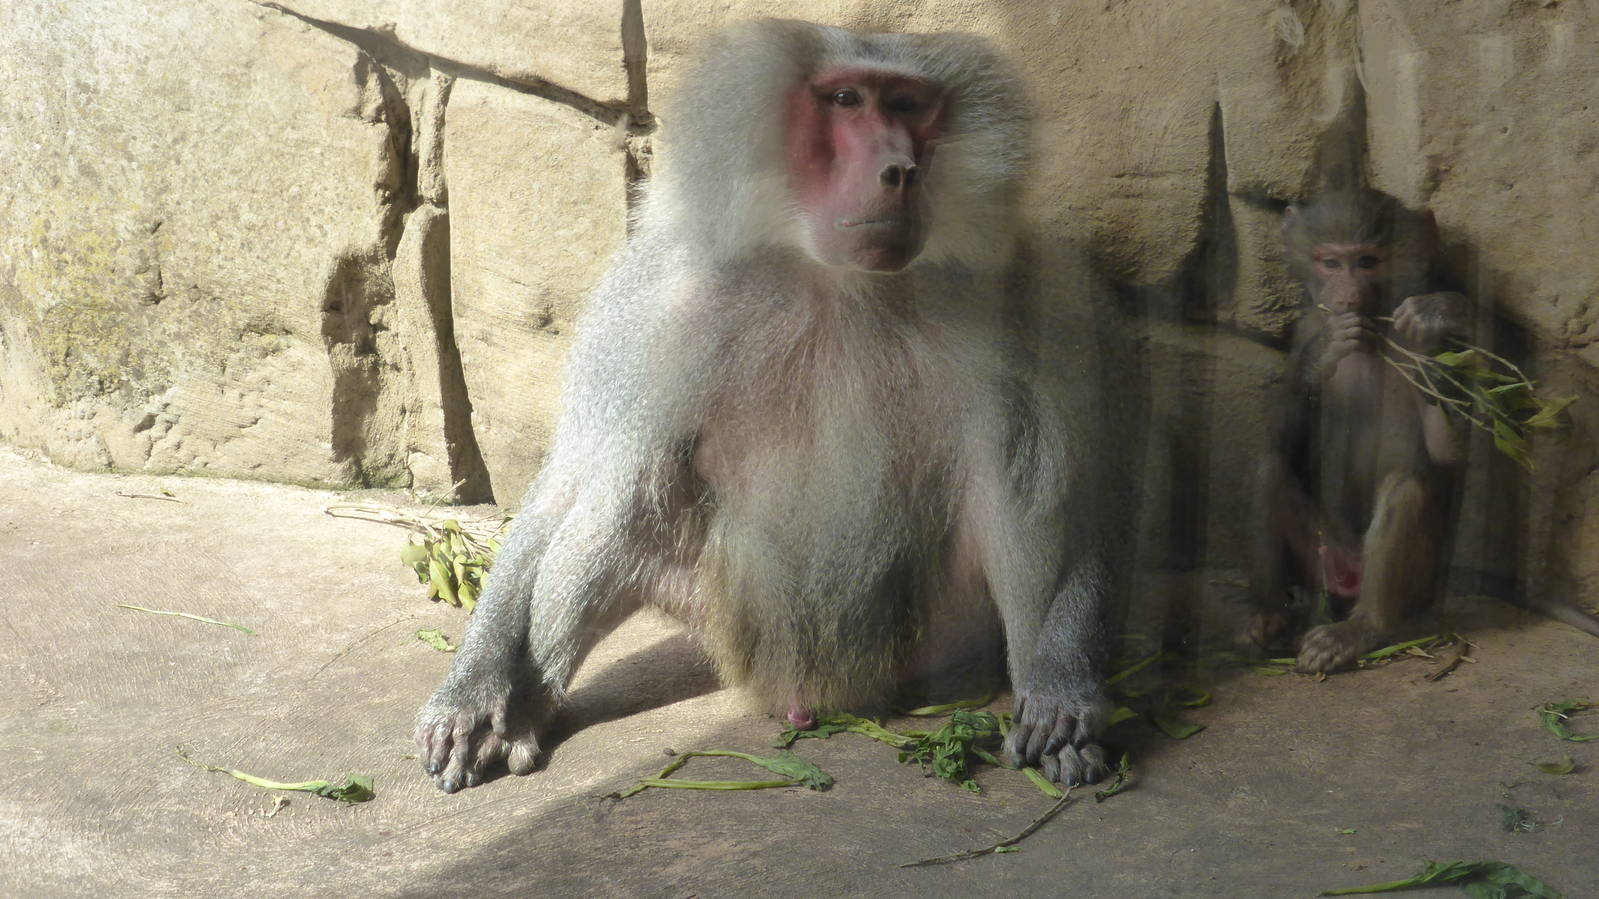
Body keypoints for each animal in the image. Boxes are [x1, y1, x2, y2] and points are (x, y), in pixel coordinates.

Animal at [414, 19, 1130, 793]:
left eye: (908, 104)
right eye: (845, 100)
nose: (900, 171)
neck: (837, 280)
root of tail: (814, 694)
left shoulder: (1031, 290)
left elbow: (1078, 497)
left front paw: (1063, 694)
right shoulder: (654, 299)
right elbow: (570, 481)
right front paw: (474, 694)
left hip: (939, 633)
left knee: (1014, 478)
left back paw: (1041, 707)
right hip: (719, 615)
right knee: (623, 492)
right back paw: (528, 708)